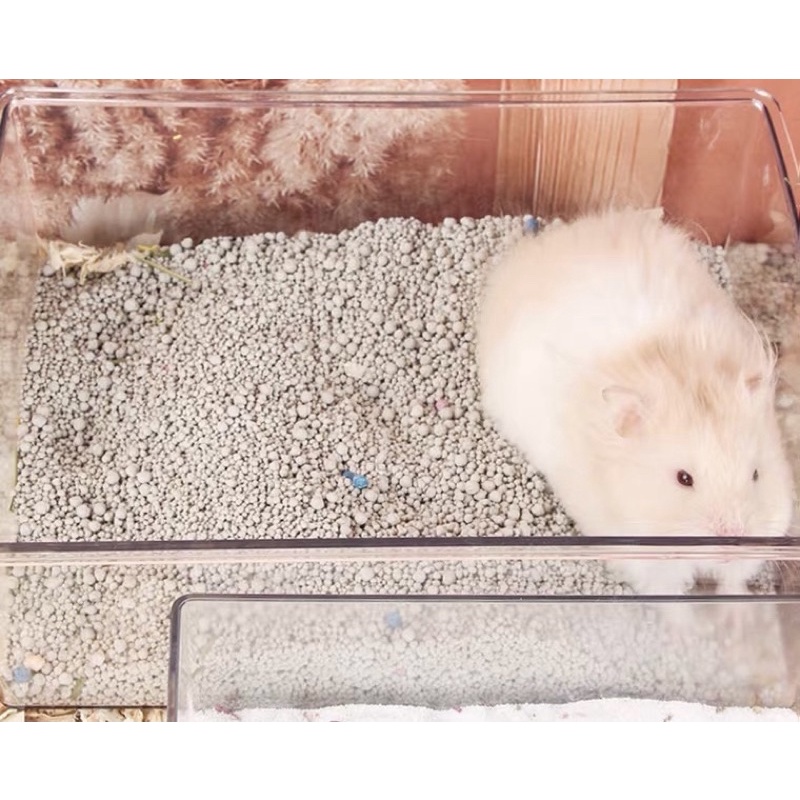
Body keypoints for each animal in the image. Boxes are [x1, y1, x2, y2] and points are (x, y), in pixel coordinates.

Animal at [476, 209, 795, 596]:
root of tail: (549, 240)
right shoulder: (642, 558)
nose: (732, 540)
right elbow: (669, 595)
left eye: (756, 474)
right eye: (684, 478)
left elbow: (733, 582)